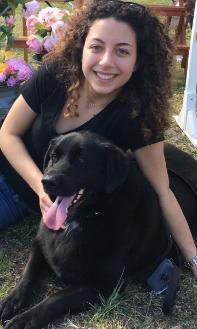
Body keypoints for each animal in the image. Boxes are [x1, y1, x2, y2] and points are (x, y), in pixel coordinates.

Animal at [0, 131, 197, 328]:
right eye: (54, 156)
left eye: (81, 159)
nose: (47, 181)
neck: (85, 216)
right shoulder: (41, 245)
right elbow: (28, 272)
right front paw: (12, 301)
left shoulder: (106, 285)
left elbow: (56, 299)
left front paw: (25, 320)